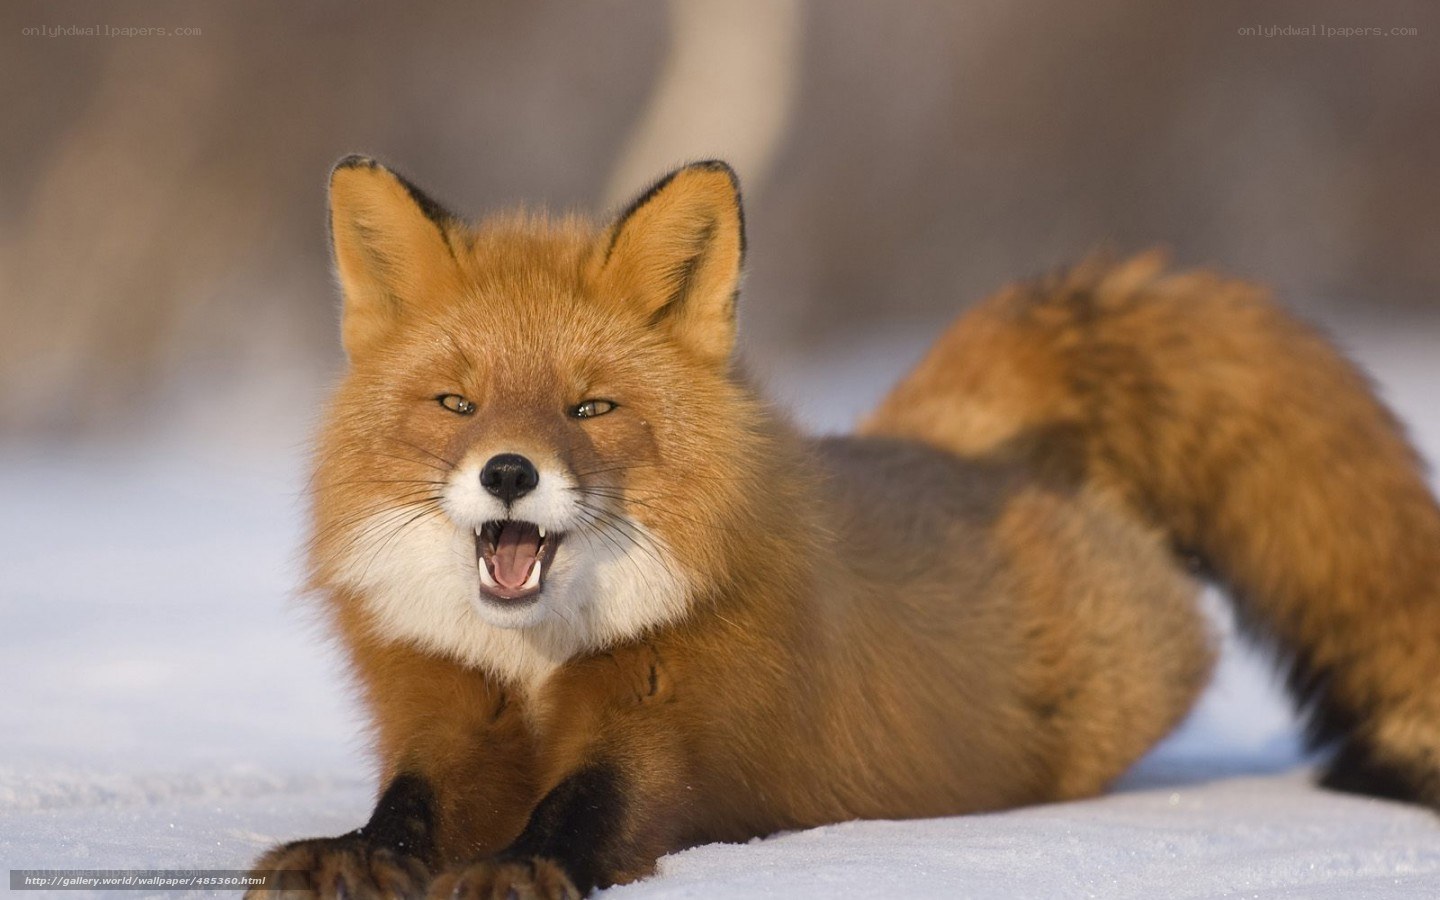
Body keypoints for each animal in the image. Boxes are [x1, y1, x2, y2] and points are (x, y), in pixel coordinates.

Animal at [248, 156, 1440, 899]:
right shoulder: (443, 709)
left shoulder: (676, 723)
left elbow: (591, 808)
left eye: (590, 408)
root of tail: (960, 446)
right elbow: (408, 804)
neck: (538, 662)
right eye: (457, 404)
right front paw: (354, 852)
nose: (507, 473)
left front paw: (520, 866)